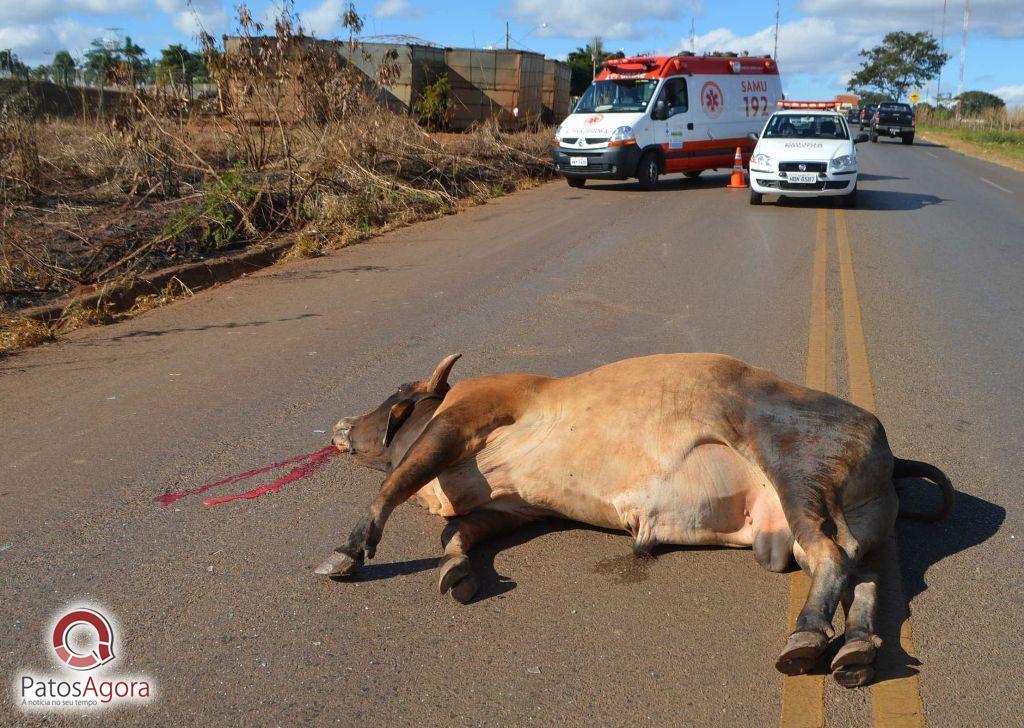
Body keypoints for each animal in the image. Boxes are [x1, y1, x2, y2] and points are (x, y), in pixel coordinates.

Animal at [317, 352, 950, 688]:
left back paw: (807, 636)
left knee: (832, 560)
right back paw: (858, 650)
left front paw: (347, 552)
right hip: (839, 524)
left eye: (393, 395)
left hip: (797, 478)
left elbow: (391, 486)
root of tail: (886, 447)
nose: (340, 425)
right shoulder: (510, 507)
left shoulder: (464, 416)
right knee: (864, 578)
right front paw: (455, 571)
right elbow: (458, 534)